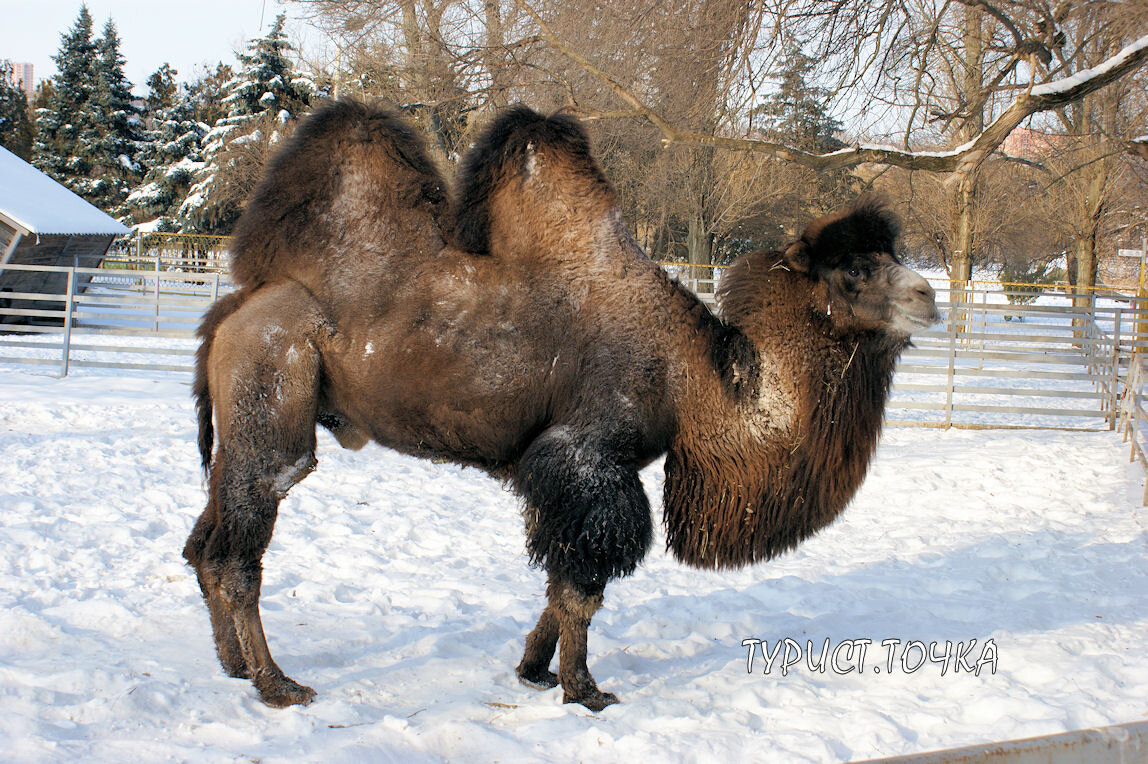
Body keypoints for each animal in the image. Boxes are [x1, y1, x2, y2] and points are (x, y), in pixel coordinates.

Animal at [179, 98, 932, 711]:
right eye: (853, 269)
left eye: (891, 255)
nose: (927, 296)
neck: (697, 377)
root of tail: (232, 309)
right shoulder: (587, 458)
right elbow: (583, 587)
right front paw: (584, 689)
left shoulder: (572, 475)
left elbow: (562, 580)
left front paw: (535, 671)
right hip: (272, 400)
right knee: (242, 549)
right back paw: (278, 684)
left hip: (243, 423)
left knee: (205, 542)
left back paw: (233, 667)